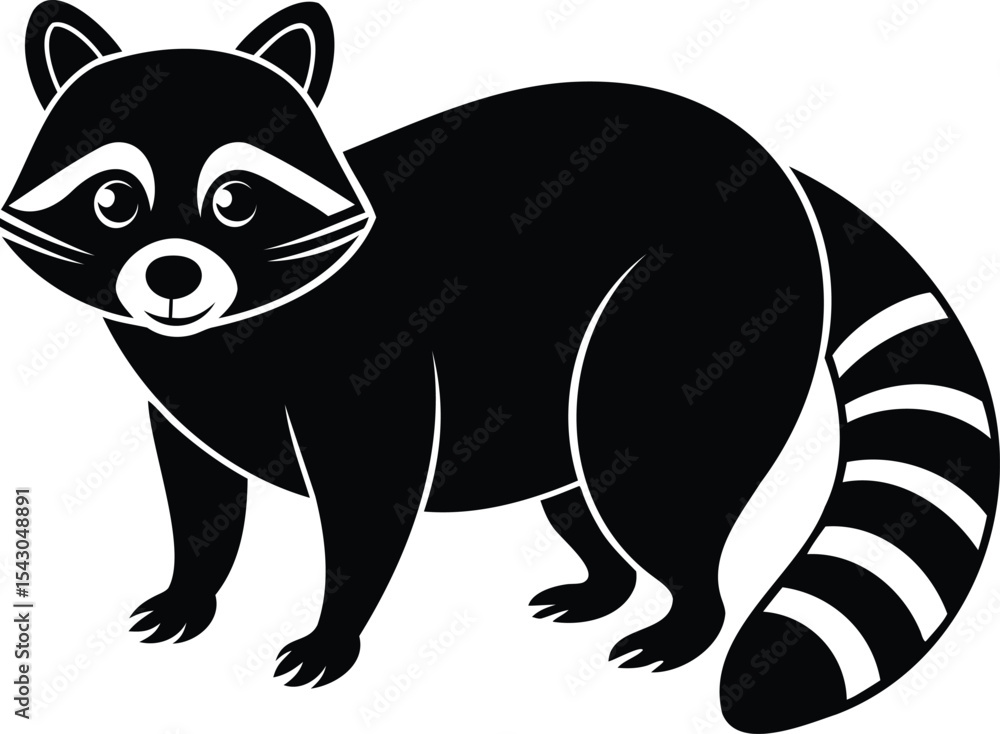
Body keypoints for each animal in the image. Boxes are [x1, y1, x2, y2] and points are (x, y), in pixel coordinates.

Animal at [3, 2, 996, 731]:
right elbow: (200, 493)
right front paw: (193, 586)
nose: (172, 276)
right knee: (582, 488)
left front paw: (335, 628)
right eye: (115, 199)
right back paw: (606, 583)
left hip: (686, 307)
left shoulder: (370, 355)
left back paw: (687, 614)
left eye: (236, 199)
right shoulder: (182, 387)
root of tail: (778, 166)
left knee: (646, 474)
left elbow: (369, 502)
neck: (233, 327)